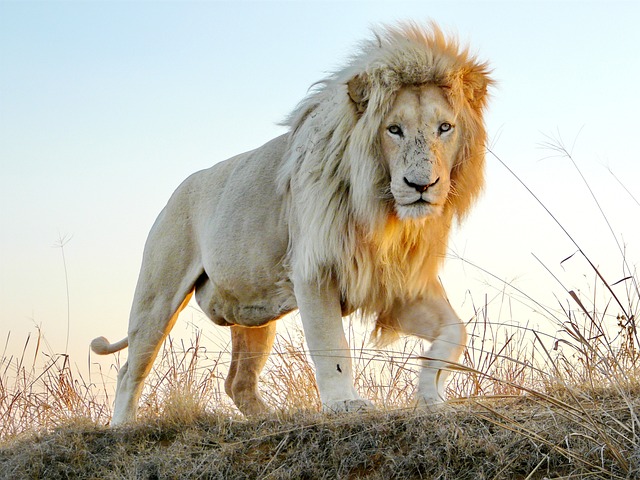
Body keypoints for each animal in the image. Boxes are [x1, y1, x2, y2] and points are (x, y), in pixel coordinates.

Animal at [90, 22, 492, 426]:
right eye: (393, 129)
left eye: (445, 127)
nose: (421, 185)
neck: (384, 213)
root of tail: (177, 191)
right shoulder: (315, 270)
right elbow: (332, 348)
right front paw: (345, 404)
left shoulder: (398, 284)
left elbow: (455, 332)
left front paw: (430, 394)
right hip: (157, 296)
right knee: (131, 369)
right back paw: (122, 426)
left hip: (251, 311)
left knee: (237, 382)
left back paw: (272, 418)